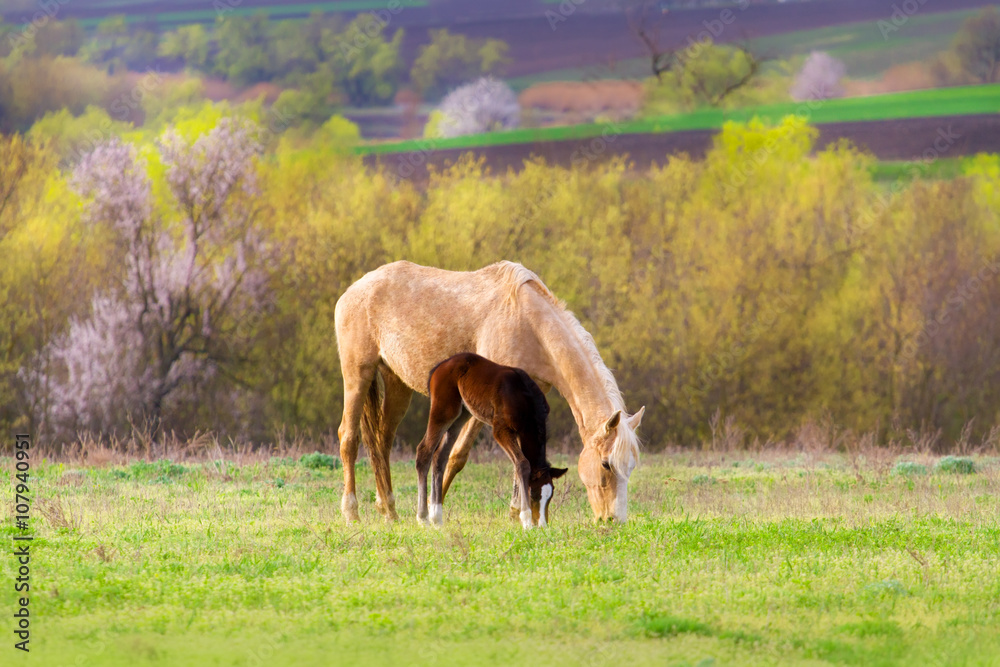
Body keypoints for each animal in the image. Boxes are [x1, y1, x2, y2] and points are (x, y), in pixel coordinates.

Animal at [416, 353, 568, 529]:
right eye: (534, 494)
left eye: (550, 497)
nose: (542, 525)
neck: (525, 399)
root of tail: (439, 367)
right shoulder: (501, 430)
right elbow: (523, 464)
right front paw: (526, 519)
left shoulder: (519, 434)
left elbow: (518, 465)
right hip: (444, 410)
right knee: (425, 450)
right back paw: (423, 518)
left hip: (461, 415)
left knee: (439, 456)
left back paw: (437, 518)